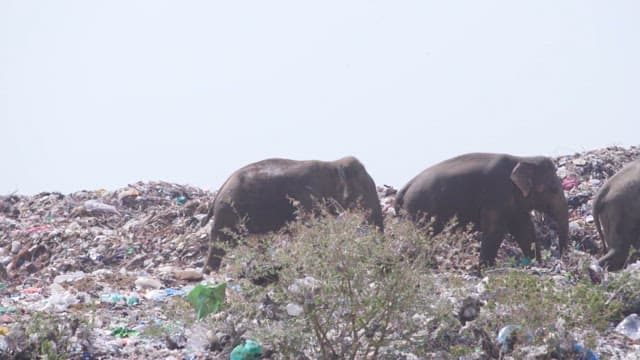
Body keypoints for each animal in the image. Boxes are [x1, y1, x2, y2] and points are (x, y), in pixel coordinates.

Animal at [202, 155, 382, 272]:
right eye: (365, 189)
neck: (331, 164)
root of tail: (220, 190)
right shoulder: (307, 197)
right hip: (228, 213)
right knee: (219, 245)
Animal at [396, 153, 568, 266]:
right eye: (553, 189)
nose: (561, 259)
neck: (523, 158)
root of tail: (404, 188)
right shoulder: (496, 194)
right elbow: (495, 230)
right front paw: (485, 269)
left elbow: (525, 230)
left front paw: (537, 264)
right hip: (419, 210)